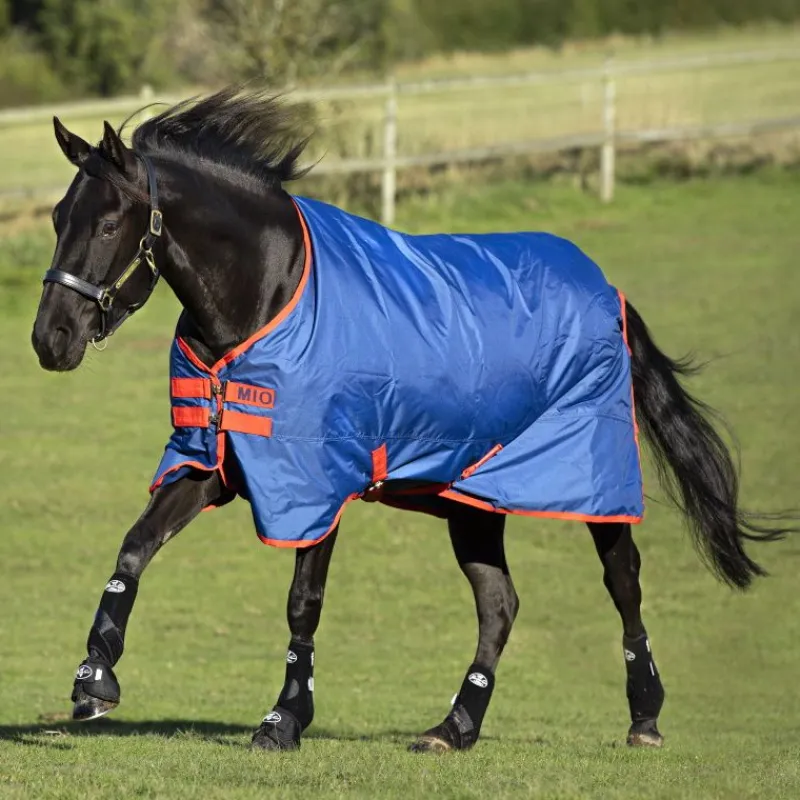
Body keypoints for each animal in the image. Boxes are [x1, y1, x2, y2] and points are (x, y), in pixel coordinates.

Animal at [31, 88, 792, 753]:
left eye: (107, 224)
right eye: (58, 218)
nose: (50, 338)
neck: (269, 293)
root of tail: (607, 289)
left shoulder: (318, 485)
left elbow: (302, 602)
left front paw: (284, 719)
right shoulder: (212, 462)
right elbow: (134, 548)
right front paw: (94, 680)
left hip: (589, 480)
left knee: (623, 581)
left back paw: (644, 717)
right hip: (474, 498)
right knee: (499, 604)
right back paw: (454, 728)